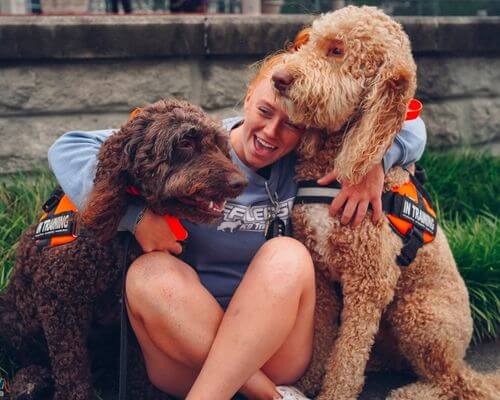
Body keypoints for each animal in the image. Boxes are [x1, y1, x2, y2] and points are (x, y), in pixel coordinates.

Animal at [0, 99, 246, 400]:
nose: (240, 182)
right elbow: (71, 368)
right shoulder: (59, 299)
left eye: (217, 143)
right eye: (186, 142)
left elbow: (138, 369)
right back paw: (30, 381)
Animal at [272, 6, 498, 400]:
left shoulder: (369, 283)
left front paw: (333, 391)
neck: (335, 160)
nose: (278, 78)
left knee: (455, 380)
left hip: (418, 313)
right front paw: (309, 381)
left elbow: (347, 356)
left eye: (337, 51)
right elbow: (322, 337)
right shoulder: (320, 273)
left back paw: (409, 392)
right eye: (309, 43)